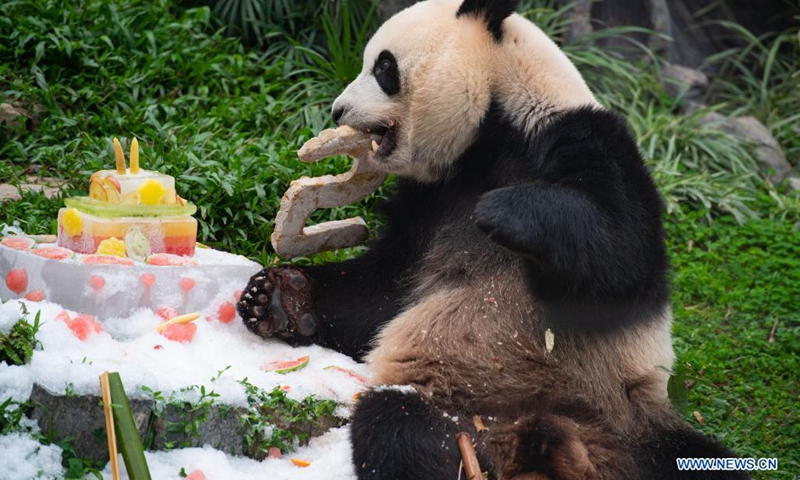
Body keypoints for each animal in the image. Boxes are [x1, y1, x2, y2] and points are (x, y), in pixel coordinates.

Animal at [234, 0, 748, 480]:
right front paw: (279, 298)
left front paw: (504, 213)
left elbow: (622, 254)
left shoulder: (582, 136)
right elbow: (384, 291)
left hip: (631, 425)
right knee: (399, 428)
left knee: (694, 459)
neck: (489, 136)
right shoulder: (431, 198)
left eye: (383, 67)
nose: (338, 110)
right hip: (457, 409)